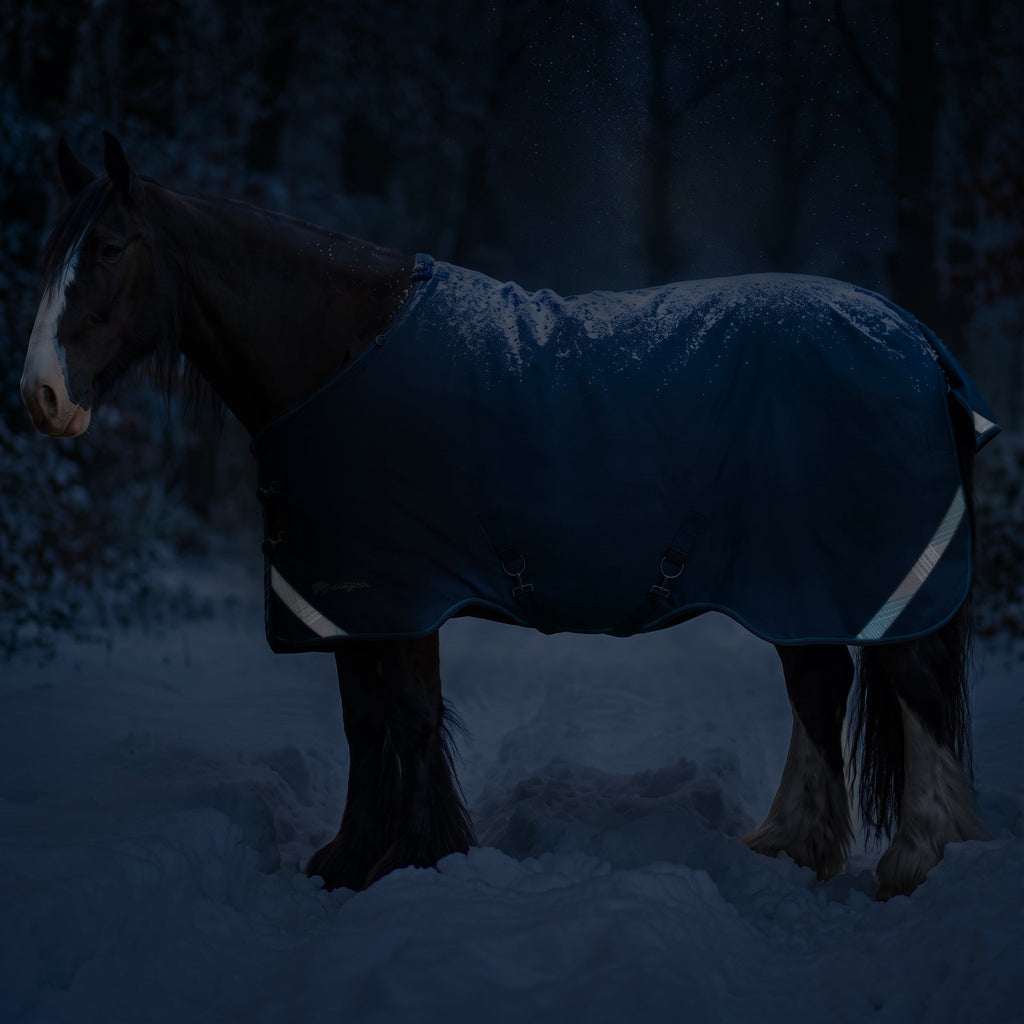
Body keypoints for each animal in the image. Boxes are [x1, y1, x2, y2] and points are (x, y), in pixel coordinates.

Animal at [21, 133, 999, 899]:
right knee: (821, 688)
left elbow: (406, 718)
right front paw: (352, 859)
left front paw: (407, 860)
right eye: (52, 251)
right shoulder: (353, 599)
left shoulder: (399, 592)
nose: (42, 396)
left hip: (871, 577)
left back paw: (915, 862)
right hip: (797, 585)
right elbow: (366, 722)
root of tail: (918, 342)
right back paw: (793, 847)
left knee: (911, 689)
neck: (334, 353)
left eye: (110, 248)